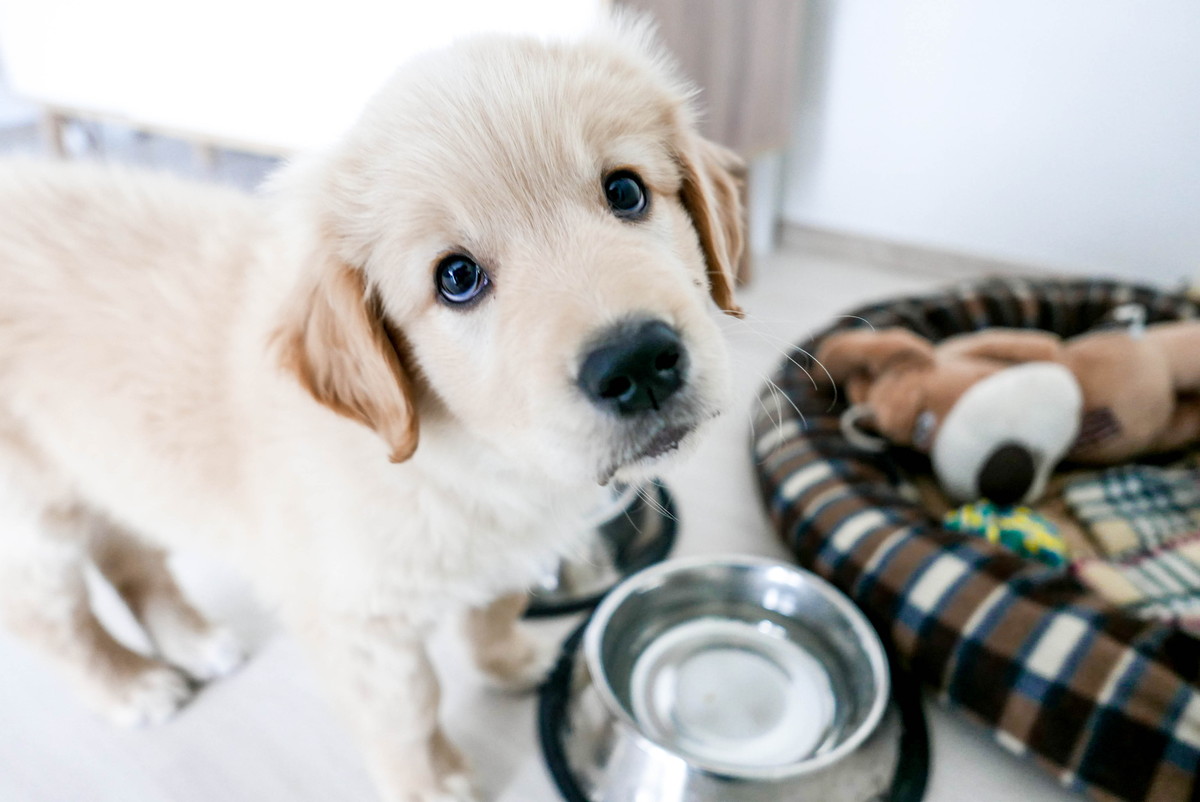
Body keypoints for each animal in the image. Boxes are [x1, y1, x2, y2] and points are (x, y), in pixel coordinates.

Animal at [0, 18, 739, 802]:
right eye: (456, 278)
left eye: (626, 191)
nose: (637, 363)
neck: (474, 456)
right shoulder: (359, 623)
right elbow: (408, 713)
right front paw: (428, 786)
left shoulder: (508, 546)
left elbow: (494, 607)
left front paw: (509, 660)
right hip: (33, 518)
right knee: (48, 616)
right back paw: (130, 686)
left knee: (129, 554)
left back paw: (194, 641)